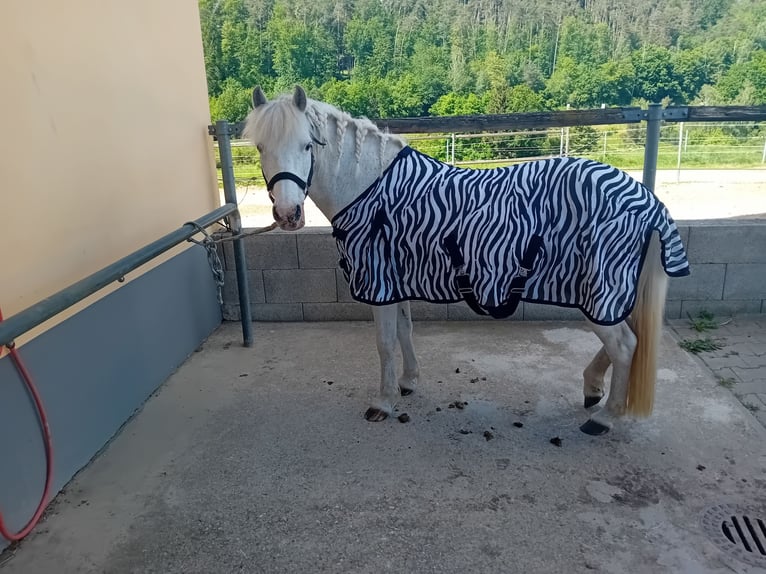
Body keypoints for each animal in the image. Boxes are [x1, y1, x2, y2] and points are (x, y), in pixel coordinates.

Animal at [243, 85, 690, 436]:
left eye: (306, 145)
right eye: (261, 147)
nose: (288, 215)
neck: (372, 190)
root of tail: (643, 197)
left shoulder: (380, 281)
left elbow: (385, 343)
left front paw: (383, 402)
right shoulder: (397, 279)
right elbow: (404, 332)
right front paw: (408, 382)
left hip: (600, 289)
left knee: (626, 345)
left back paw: (605, 418)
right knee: (626, 340)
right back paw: (592, 387)